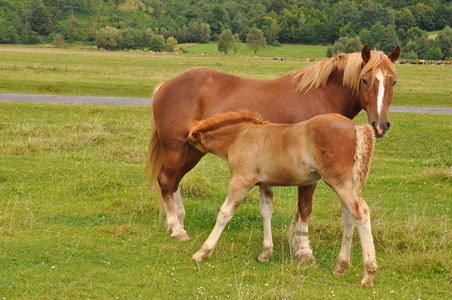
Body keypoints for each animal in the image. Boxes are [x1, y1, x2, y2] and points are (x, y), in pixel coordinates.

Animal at [147, 44, 400, 260]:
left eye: (393, 82)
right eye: (365, 80)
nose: (380, 125)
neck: (321, 96)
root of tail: (164, 86)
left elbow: (298, 210)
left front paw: (294, 242)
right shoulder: (309, 174)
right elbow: (305, 208)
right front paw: (304, 250)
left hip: (191, 151)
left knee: (174, 182)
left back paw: (177, 222)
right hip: (176, 149)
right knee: (166, 180)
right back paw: (177, 229)